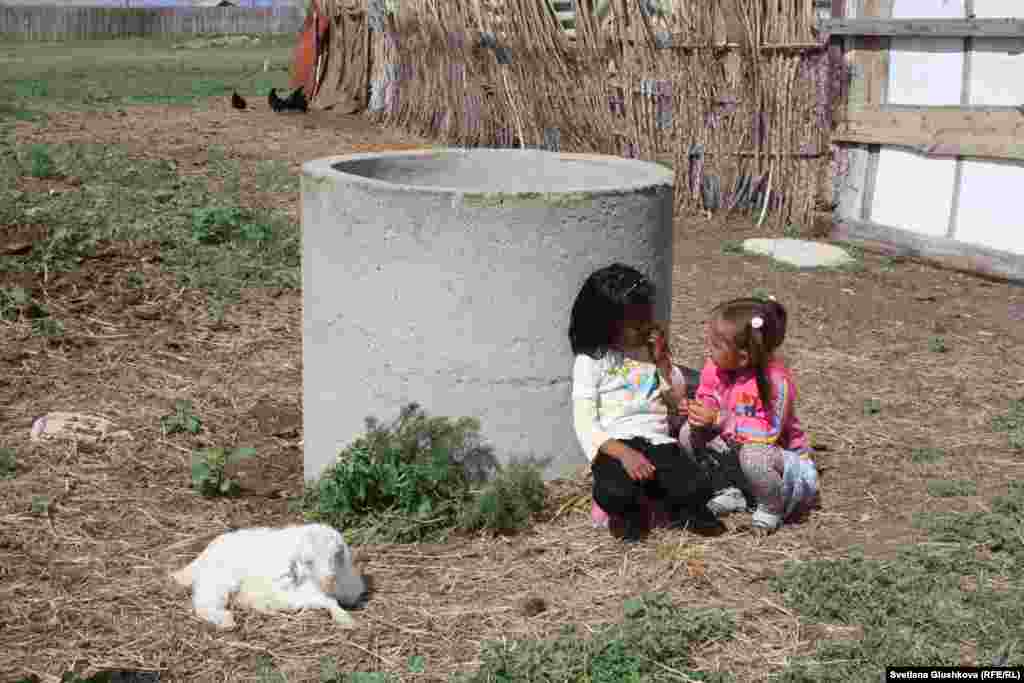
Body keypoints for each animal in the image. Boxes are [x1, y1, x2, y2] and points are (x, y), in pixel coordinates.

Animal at [171, 524, 368, 630]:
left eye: (335, 556)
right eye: (308, 561)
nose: (328, 580)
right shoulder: (295, 591)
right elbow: (326, 601)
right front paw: (345, 619)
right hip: (220, 578)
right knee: (204, 602)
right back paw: (226, 620)